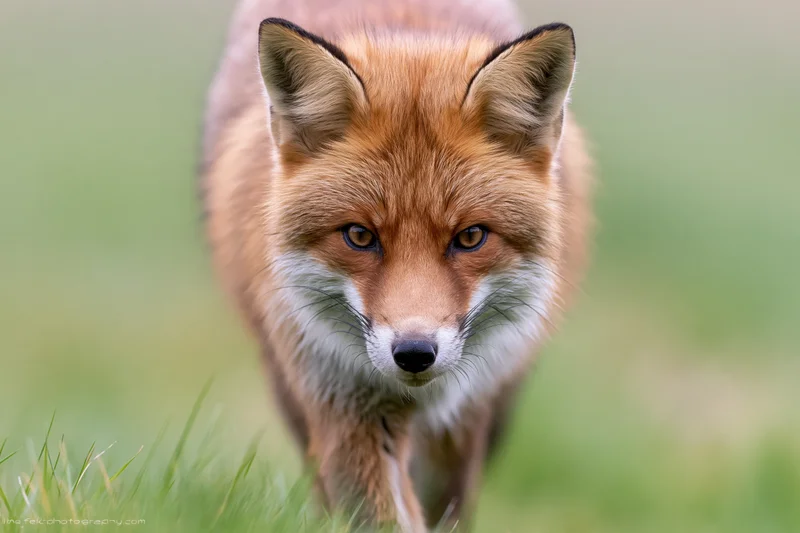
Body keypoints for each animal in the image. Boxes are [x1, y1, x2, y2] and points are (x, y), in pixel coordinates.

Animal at [201, 0, 593, 530]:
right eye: (360, 236)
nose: (414, 352)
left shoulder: (464, 415)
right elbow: (381, 512)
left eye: (470, 237)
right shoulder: (344, 398)